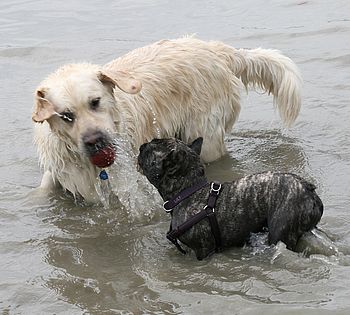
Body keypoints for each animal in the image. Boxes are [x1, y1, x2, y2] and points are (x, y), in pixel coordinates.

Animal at [31, 37, 302, 202]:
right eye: (67, 116)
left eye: (95, 102)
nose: (95, 141)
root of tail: (215, 49)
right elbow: (46, 186)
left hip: (205, 135)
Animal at [137, 137, 322, 260]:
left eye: (150, 149)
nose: (141, 146)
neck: (188, 191)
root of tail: (309, 190)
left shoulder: (202, 251)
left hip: (280, 231)